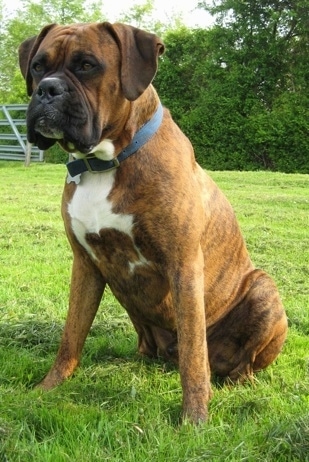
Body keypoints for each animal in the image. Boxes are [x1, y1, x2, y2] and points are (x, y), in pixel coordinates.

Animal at [18, 23, 286, 424]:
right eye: (37, 66)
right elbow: (71, 335)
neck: (105, 162)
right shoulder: (85, 266)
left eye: (87, 65)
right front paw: (47, 388)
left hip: (264, 291)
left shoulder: (184, 266)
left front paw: (194, 418)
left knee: (234, 363)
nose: (47, 89)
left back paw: (237, 381)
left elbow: (194, 353)